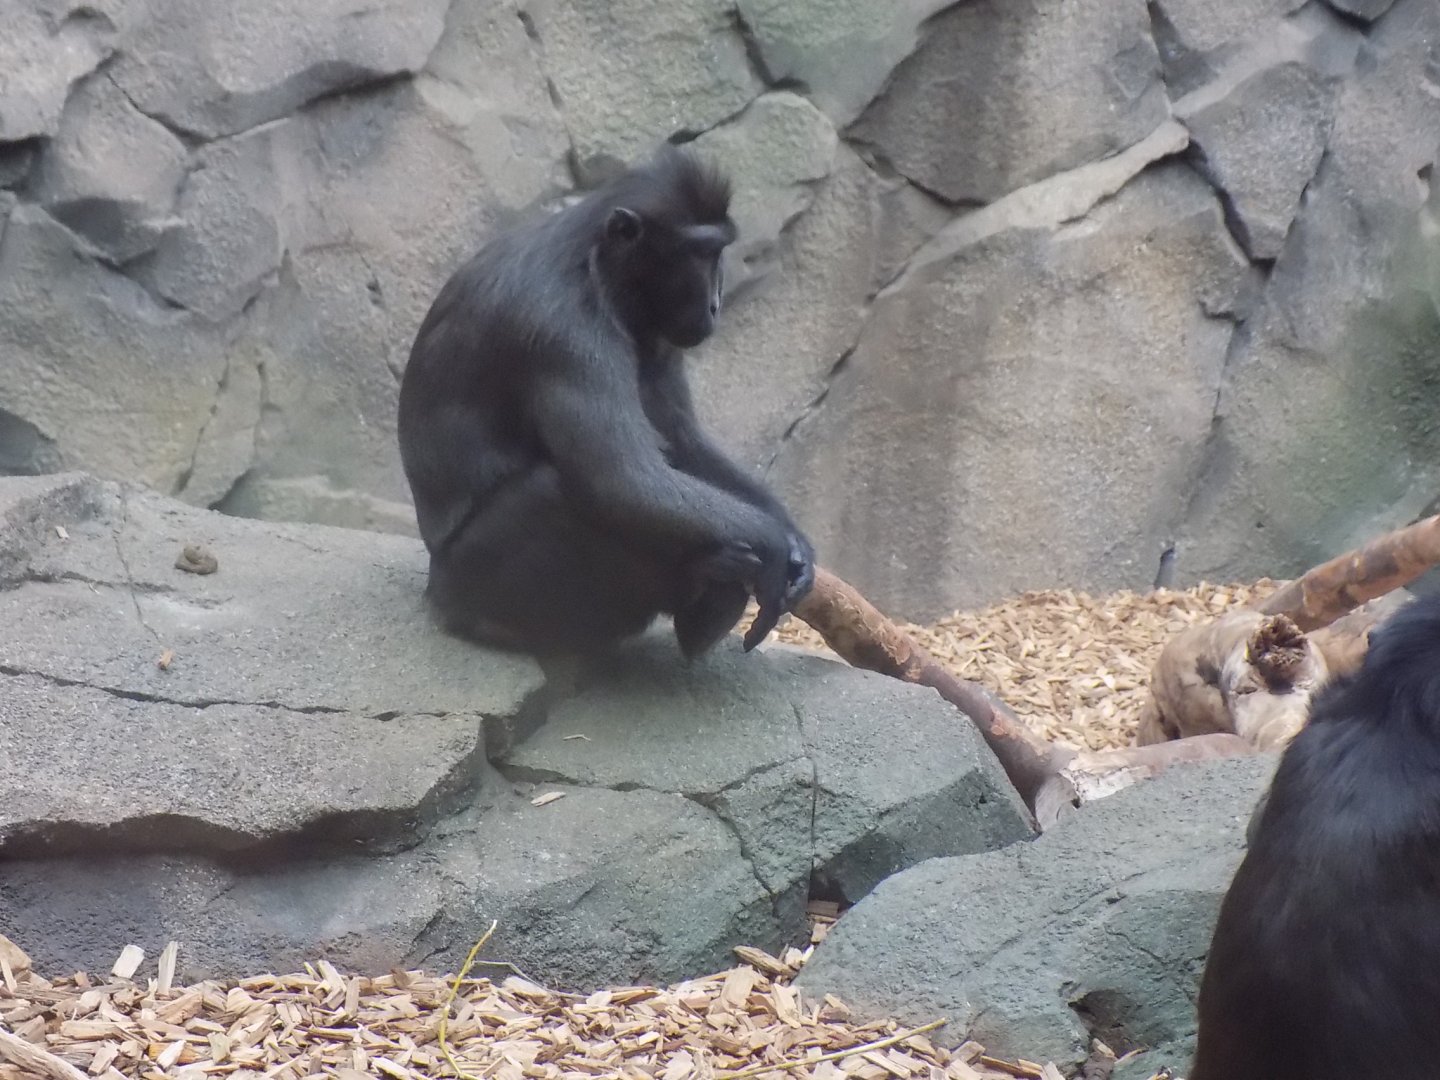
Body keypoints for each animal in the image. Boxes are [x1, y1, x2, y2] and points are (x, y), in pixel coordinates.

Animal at [396, 146, 815, 661]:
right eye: (701, 253)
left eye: (718, 251)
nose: (716, 301)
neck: (595, 263)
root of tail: (436, 589)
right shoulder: (563, 328)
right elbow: (622, 480)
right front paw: (773, 544)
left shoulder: (654, 333)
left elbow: (679, 440)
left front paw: (794, 541)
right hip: (475, 573)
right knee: (560, 489)